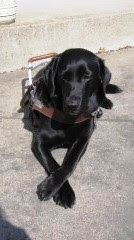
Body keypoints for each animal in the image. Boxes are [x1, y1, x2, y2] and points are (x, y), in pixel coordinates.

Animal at [24, 48, 121, 208]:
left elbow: (69, 164)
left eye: (87, 76)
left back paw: (104, 102)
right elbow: (54, 164)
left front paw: (52, 187)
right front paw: (60, 190)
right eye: (63, 77)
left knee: (102, 91)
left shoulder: (83, 140)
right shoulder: (39, 142)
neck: (67, 119)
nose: (71, 105)